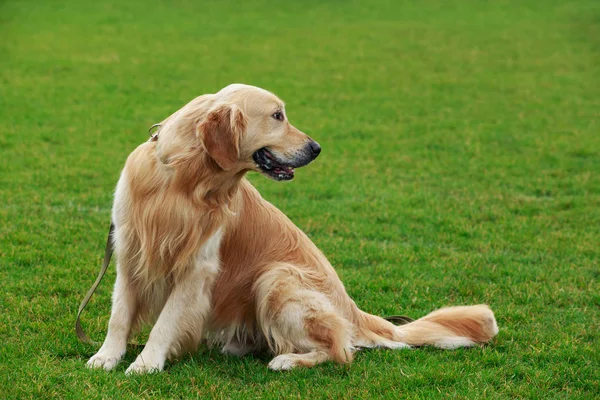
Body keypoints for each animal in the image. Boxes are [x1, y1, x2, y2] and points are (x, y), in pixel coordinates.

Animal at [88, 83, 496, 374]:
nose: (317, 148)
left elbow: (165, 322)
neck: (182, 182)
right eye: (277, 115)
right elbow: (119, 315)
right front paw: (107, 356)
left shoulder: (197, 269)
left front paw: (145, 363)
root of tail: (353, 311)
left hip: (277, 277)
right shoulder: (129, 252)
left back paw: (288, 360)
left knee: (341, 350)